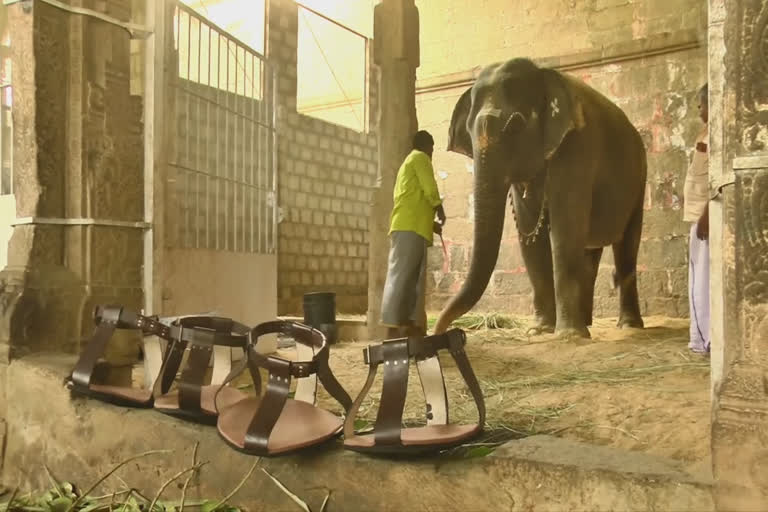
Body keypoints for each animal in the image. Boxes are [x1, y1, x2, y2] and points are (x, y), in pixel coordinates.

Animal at [436, 58, 644, 338]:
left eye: (516, 124)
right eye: (468, 132)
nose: (440, 330)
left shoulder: (577, 145)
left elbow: (565, 229)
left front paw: (568, 336)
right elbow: (529, 236)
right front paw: (540, 330)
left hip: (639, 180)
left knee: (626, 248)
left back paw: (628, 325)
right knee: (589, 251)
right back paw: (587, 323)